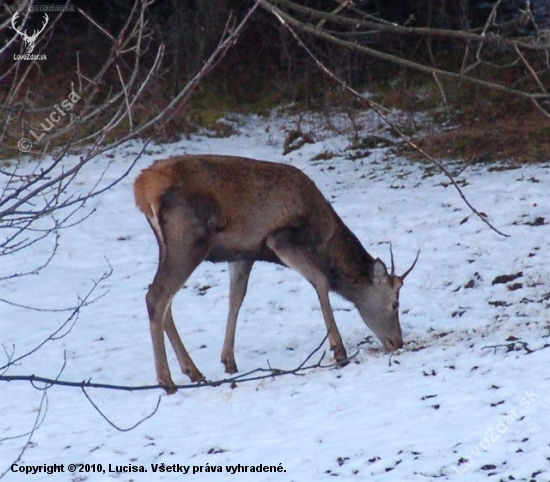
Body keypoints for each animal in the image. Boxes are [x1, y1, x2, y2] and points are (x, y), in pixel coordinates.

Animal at [134, 156, 418, 394]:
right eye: (395, 303)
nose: (398, 342)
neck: (322, 237)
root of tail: (142, 187)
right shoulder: (281, 240)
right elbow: (321, 280)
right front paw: (339, 351)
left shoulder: (243, 254)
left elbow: (236, 298)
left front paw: (229, 361)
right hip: (188, 241)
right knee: (156, 297)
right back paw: (167, 382)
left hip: (171, 247)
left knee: (165, 302)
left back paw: (193, 372)